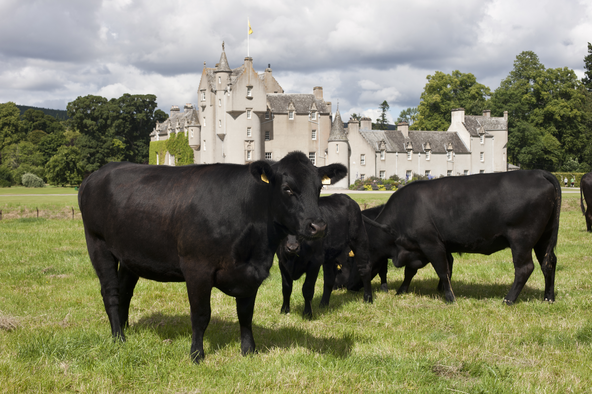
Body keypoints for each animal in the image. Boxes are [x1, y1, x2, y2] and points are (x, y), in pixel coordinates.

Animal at [78, 152, 346, 364]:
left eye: (319, 188)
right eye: (287, 188)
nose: (318, 226)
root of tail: (97, 173)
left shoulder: (251, 272)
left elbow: (245, 314)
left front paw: (249, 350)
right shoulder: (197, 269)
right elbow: (201, 315)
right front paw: (197, 355)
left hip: (130, 255)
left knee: (125, 291)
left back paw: (125, 329)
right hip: (98, 244)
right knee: (111, 292)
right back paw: (118, 337)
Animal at [342, 170, 560, 304]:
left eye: (351, 262)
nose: (348, 287)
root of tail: (538, 172)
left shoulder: (431, 244)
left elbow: (442, 270)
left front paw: (449, 297)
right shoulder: (421, 248)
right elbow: (411, 272)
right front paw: (402, 290)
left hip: (521, 239)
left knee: (525, 268)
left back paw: (509, 299)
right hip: (544, 238)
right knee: (548, 263)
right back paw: (548, 297)